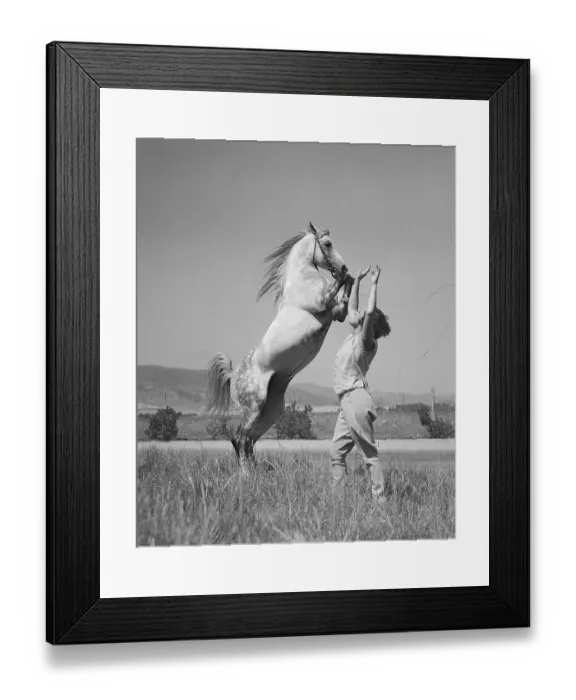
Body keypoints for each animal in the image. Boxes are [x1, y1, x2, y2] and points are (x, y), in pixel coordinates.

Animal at [206, 222, 352, 471]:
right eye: (328, 243)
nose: (342, 266)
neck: (303, 280)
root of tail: (233, 376)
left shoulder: (337, 313)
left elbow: (347, 293)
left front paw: (353, 275)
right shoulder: (323, 303)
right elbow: (341, 285)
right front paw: (349, 275)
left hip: (270, 411)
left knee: (249, 440)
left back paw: (257, 471)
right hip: (253, 406)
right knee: (239, 438)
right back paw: (246, 474)